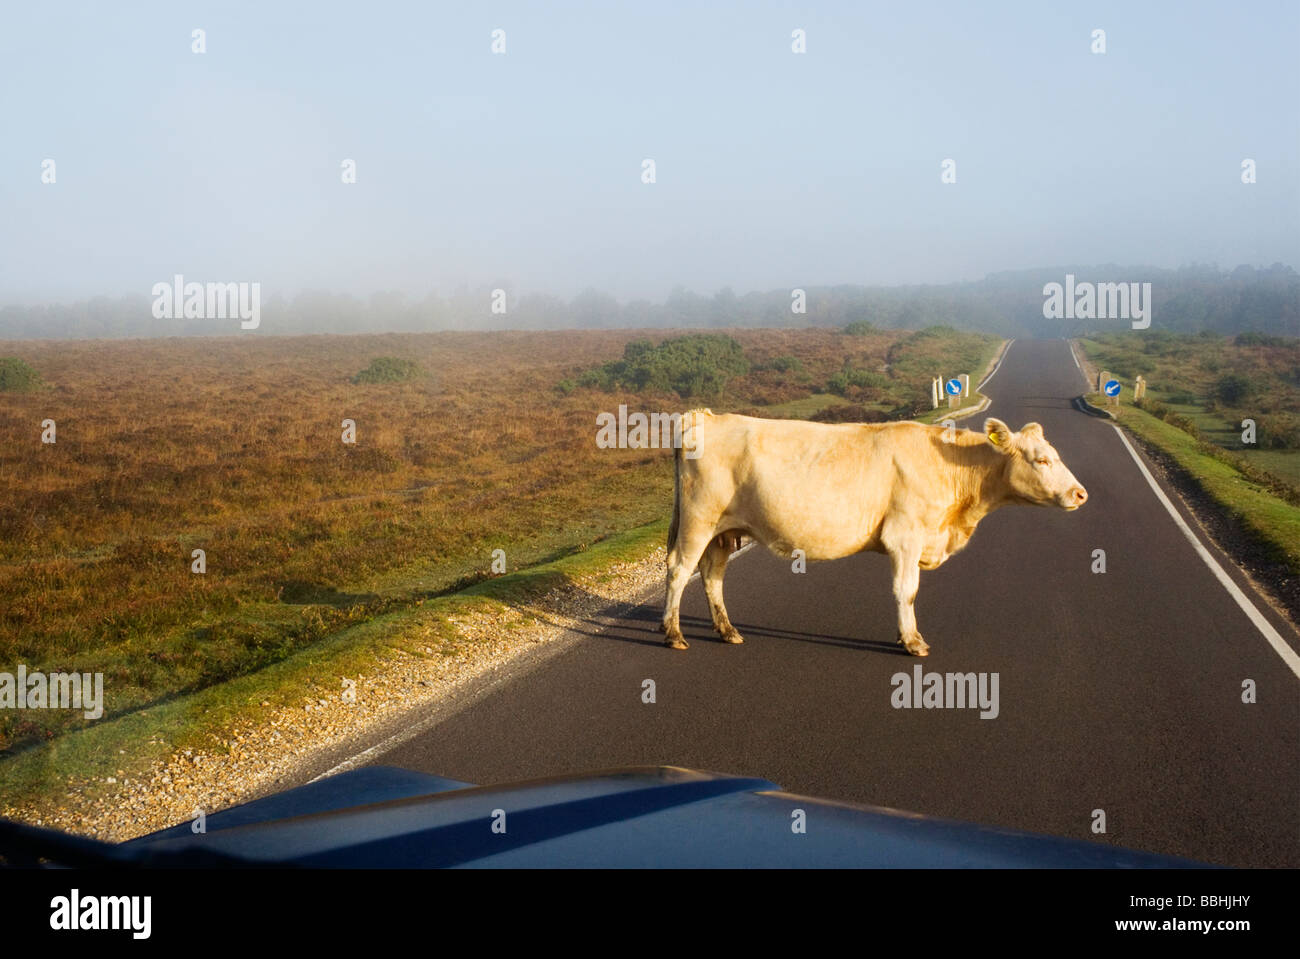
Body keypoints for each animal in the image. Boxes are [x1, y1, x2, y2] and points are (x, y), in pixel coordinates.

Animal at [660, 408, 1086, 654]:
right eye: (1042, 459)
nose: (1080, 493)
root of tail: (707, 416)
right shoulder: (905, 536)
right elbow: (906, 590)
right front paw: (912, 641)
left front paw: (904, 635)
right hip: (699, 520)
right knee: (679, 570)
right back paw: (674, 634)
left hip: (722, 529)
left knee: (712, 575)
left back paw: (727, 630)